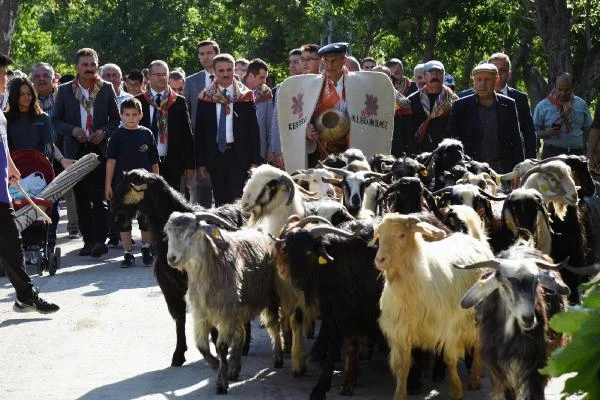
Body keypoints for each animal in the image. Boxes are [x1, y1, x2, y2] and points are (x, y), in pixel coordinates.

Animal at [372, 214, 494, 400]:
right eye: (379, 234)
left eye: (402, 235)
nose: (380, 260)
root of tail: (475, 240)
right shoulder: (401, 331)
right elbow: (403, 367)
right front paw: (400, 394)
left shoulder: (447, 326)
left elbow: (449, 359)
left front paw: (456, 390)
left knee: (479, 343)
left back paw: (474, 378)